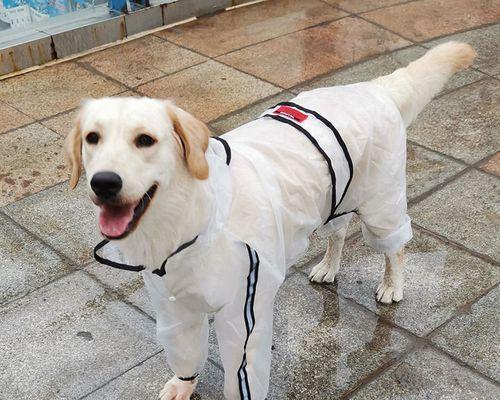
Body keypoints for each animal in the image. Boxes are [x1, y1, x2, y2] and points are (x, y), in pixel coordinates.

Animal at [66, 42, 476, 398]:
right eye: (92, 138)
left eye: (145, 140)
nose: (104, 182)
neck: (192, 219)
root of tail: (372, 88)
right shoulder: (173, 305)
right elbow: (184, 349)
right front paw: (183, 385)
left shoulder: (244, 310)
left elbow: (242, 372)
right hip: (333, 198)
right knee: (339, 233)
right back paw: (328, 267)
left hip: (379, 204)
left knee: (395, 247)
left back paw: (392, 285)